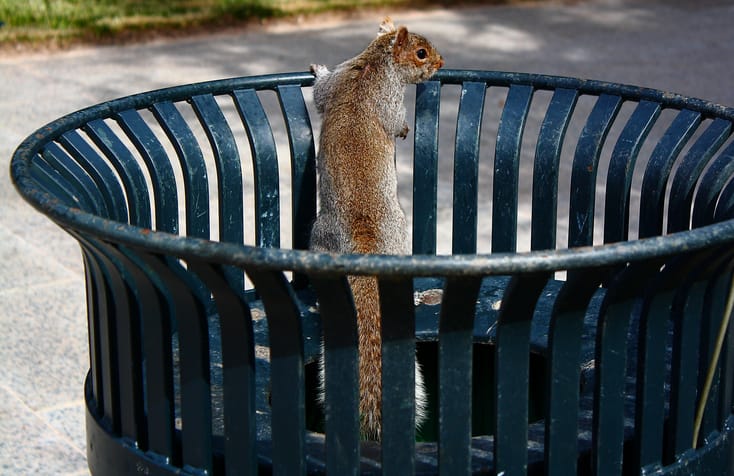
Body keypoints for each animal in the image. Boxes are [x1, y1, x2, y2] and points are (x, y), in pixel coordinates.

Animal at [309, 17, 444, 441]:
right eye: (421, 53)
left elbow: (321, 93)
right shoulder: (390, 98)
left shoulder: (340, 82)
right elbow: (396, 121)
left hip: (318, 239)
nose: (441, 63)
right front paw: (403, 131)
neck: (373, 63)